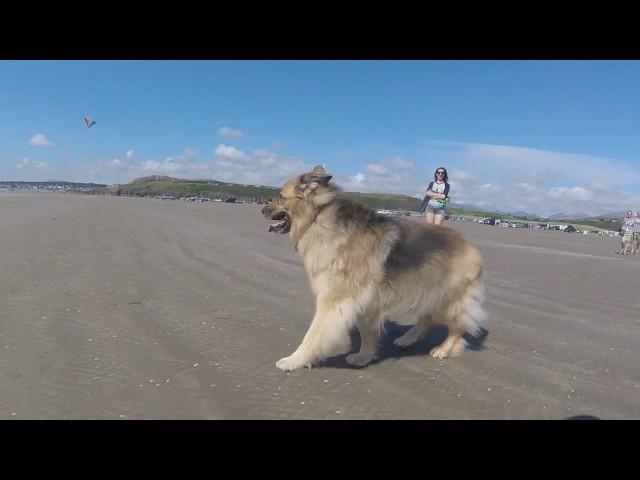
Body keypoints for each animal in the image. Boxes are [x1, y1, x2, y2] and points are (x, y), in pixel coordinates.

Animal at [262, 165, 484, 372]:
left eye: (280, 197)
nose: (262, 209)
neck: (318, 218)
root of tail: (470, 246)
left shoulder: (335, 300)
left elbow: (314, 334)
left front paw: (295, 360)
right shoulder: (363, 301)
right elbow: (366, 331)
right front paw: (364, 357)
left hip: (447, 299)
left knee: (458, 327)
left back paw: (444, 349)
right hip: (427, 291)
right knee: (427, 319)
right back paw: (406, 339)